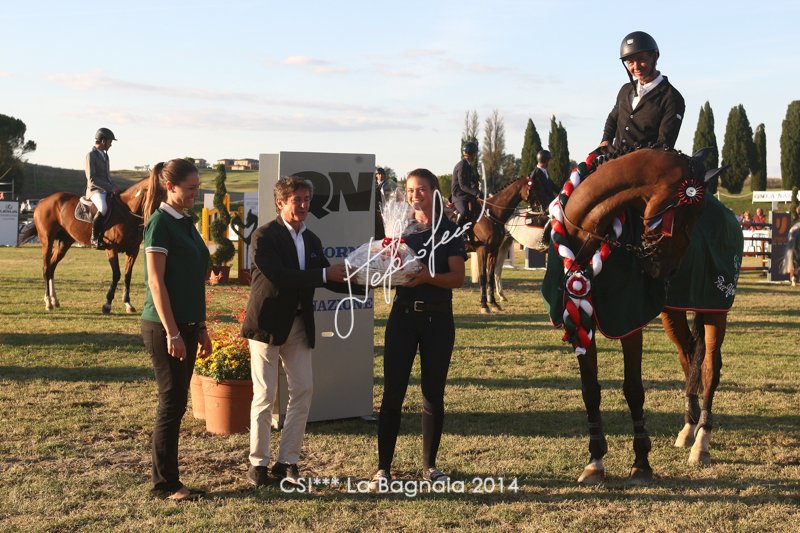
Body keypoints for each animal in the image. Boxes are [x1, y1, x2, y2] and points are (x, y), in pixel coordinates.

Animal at [33, 177, 149, 313]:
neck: (127, 212)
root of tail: (42, 202)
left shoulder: (133, 250)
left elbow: (127, 275)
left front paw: (128, 304)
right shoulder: (111, 249)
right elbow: (116, 274)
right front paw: (107, 304)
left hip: (63, 243)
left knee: (52, 267)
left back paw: (54, 300)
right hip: (47, 241)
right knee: (46, 268)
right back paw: (48, 302)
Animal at [542, 146, 731, 484]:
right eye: (687, 216)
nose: (668, 270)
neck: (586, 235)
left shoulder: (628, 323)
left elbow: (633, 389)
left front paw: (641, 462)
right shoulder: (578, 320)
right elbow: (590, 391)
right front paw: (595, 461)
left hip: (714, 308)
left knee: (710, 366)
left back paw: (702, 441)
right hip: (672, 314)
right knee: (689, 357)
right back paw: (687, 429)